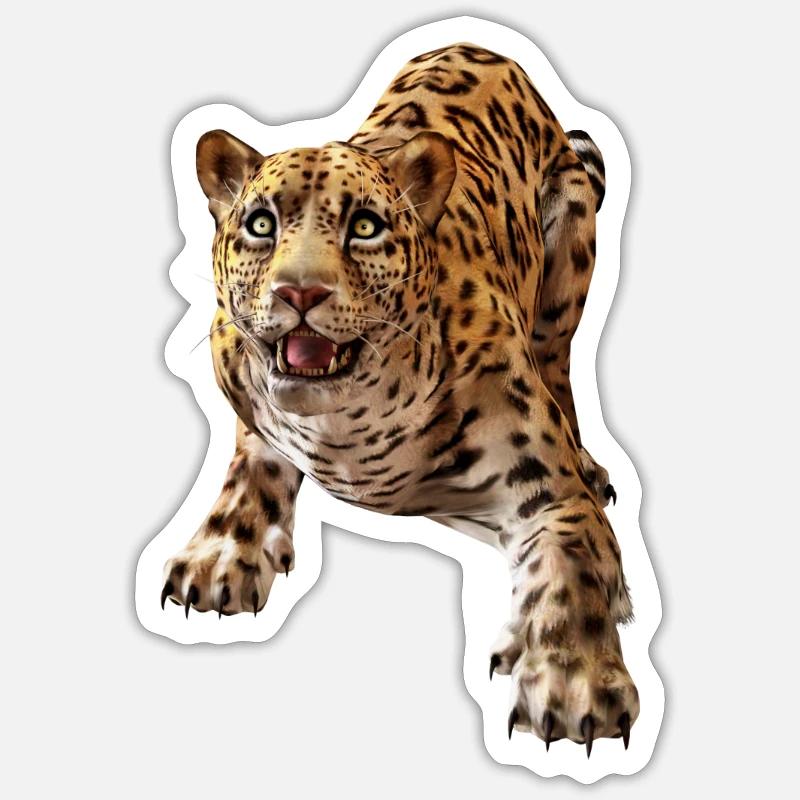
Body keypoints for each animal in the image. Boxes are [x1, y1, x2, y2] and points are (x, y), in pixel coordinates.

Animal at [161, 43, 638, 755]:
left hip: (569, 259)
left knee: (561, 371)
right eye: (260, 224)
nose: (300, 293)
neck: (348, 426)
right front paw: (219, 554)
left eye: (365, 226)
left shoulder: (549, 493)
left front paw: (574, 680)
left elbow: (573, 563)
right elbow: (250, 468)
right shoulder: (250, 403)